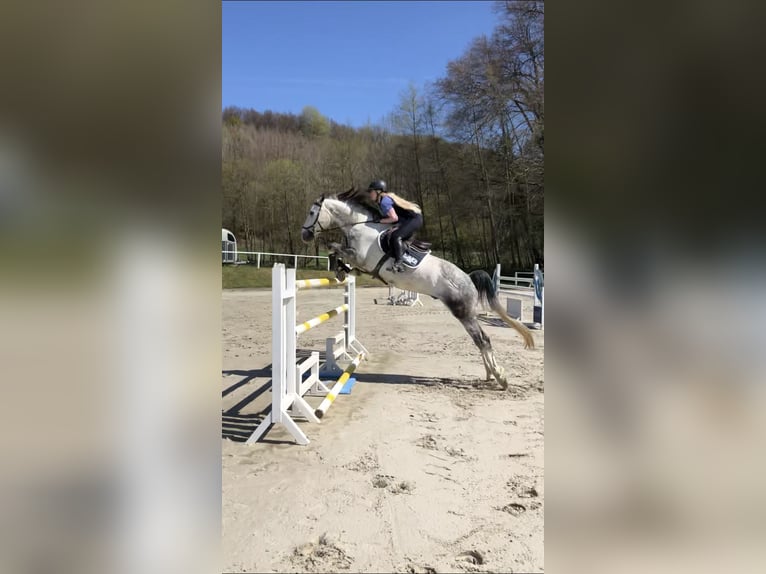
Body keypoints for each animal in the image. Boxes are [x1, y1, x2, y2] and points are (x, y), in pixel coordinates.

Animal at [299, 190, 535, 389]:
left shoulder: (360, 258)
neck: (359, 227)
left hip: (463, 312)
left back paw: (500, 377)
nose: (304, 235)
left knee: (482, 340)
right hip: (467, 313)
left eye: (311, 212)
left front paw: (339, 267)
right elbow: (337, 254)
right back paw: (490, 374)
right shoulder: (360, 262)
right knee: (481, 341)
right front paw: (340, 271)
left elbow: (334, 248)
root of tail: (468, 278)